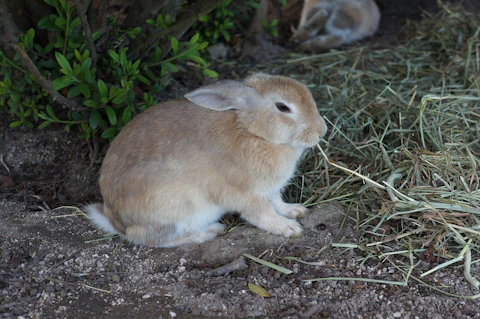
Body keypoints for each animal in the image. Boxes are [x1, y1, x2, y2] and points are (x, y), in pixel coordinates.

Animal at [84, 74, 328, 249]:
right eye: (283, 107)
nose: (321, 131)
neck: (253, 132)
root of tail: (115, 220)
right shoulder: (246, 194)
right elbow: (262, 214)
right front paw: (289, 228)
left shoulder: (270, 189)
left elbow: (277, 202)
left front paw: (295, 211)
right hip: (177, 207)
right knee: (151, 239)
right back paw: (209, 232)